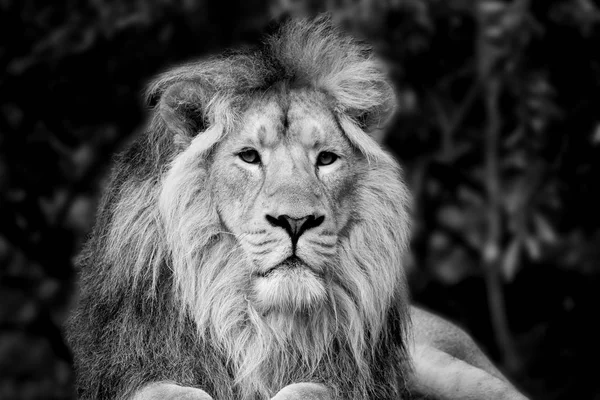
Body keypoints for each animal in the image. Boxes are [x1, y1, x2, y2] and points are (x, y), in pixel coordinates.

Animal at [67, 14, 528, 398]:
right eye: (249, 156)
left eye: (325, 159)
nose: (295, 221)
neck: (257, 324)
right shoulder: (136, 367)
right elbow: (173, 392)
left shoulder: (351, 379)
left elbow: (307, 390)